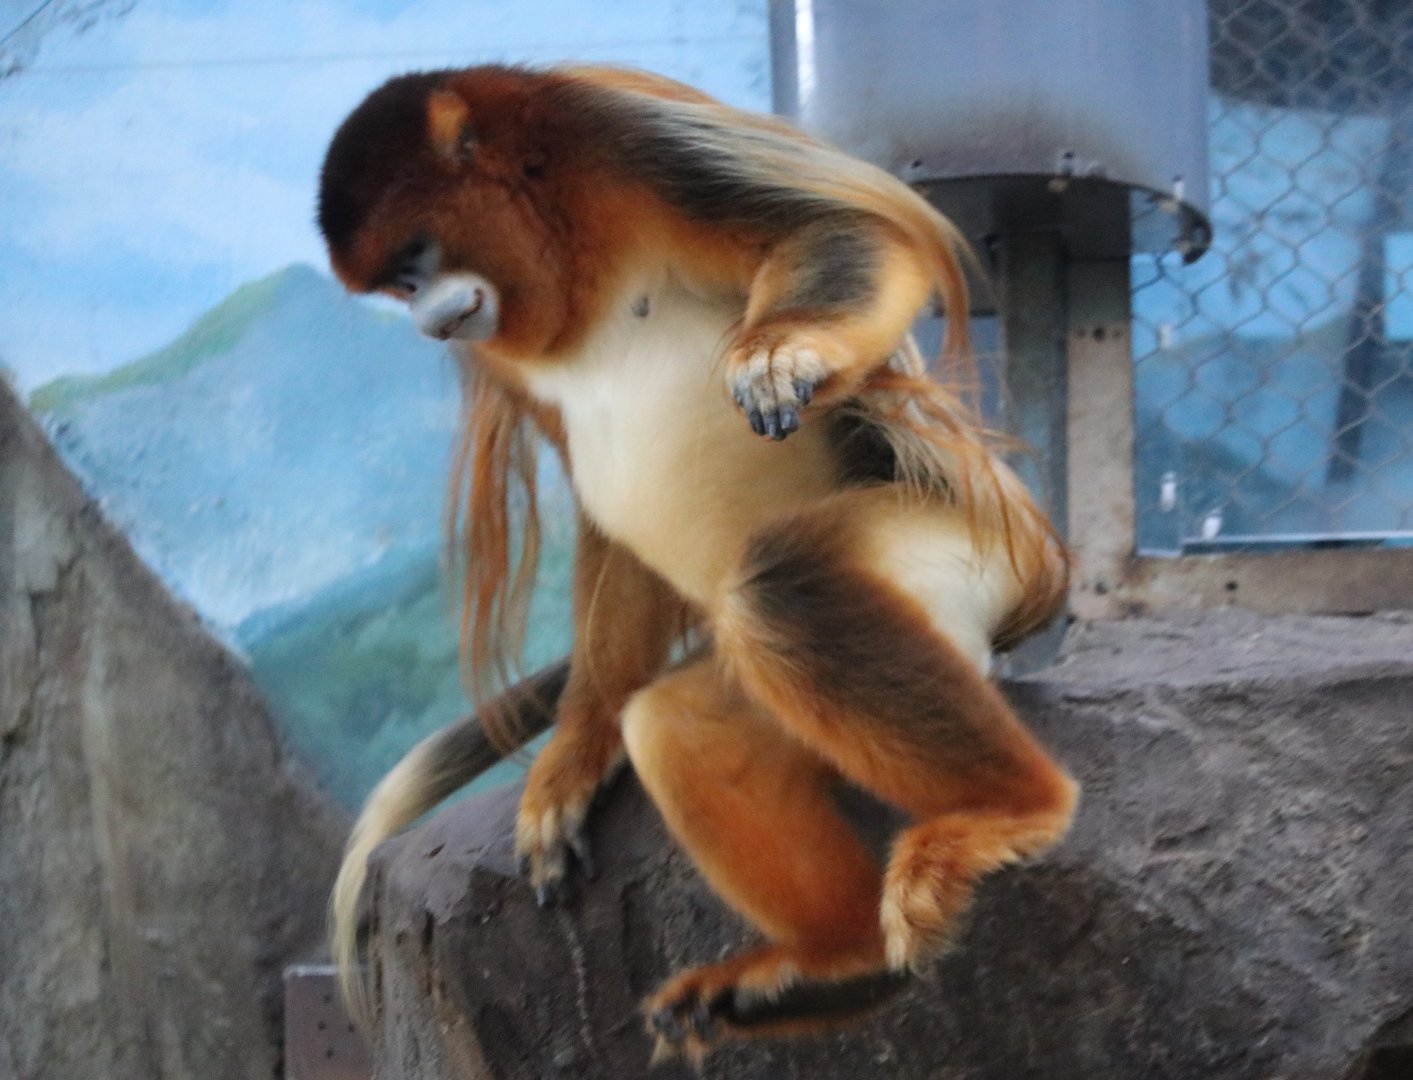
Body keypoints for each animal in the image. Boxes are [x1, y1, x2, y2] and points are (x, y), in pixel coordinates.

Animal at [317, 63, 1077, 1061]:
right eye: (395, 284)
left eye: (415, 260)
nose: (423, 318)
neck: (565, 239)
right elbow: (601, 521)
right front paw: (574, 751)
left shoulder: (618, 131)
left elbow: (845, 228)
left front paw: (785, 348)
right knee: (681, 724)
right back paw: (837, 962)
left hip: (980, 557)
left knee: (782, 588)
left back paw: (1008, 812)